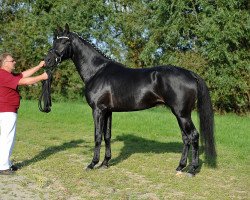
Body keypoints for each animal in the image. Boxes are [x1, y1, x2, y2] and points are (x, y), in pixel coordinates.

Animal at [44, 24, 216, 175]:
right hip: (180, 114)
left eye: (65, 42)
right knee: (186, 138)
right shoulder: (108, 111)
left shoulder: (98, 110)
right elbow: (107, 135)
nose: (47, 61)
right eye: (54, 41)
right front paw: (105, 163)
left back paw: (192, 170)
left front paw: (92, 164)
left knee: (193, 136)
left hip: (182, 114)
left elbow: (97, 136)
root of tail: (190, 74)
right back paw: (180, 167)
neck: (97, 71)